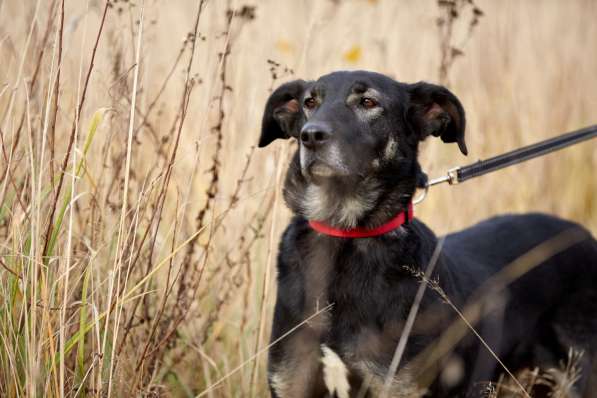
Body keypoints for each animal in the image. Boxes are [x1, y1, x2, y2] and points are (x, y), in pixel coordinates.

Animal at [258, 71, 596, 398]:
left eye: (368, 102)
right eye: (309, 102)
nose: (311, 136)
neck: (343, 234)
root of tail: (585, 236)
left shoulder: (399, 385)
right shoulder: (290, 381)